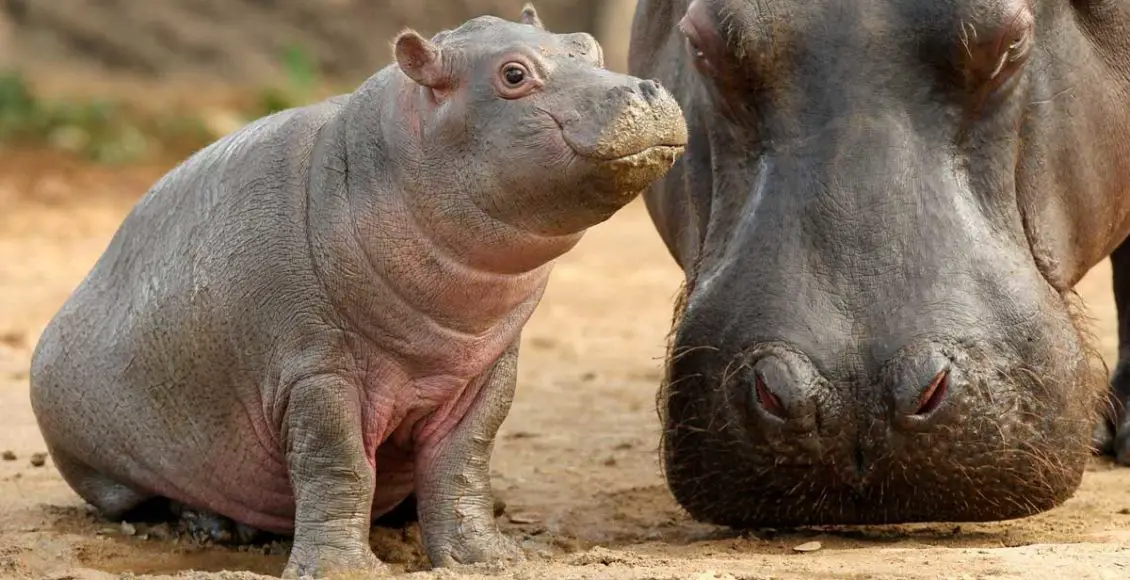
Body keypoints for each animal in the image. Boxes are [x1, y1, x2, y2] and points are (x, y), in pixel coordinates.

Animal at [26, 5, 682, 578]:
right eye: (513, 74)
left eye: (588, 46)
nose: (648, 90)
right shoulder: (314, 371)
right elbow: (336, 464)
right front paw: (342, 569)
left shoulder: (488, 369)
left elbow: (464, 460)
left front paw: (488, 558)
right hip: (102, 458)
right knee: (145, 497)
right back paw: (213, 527)